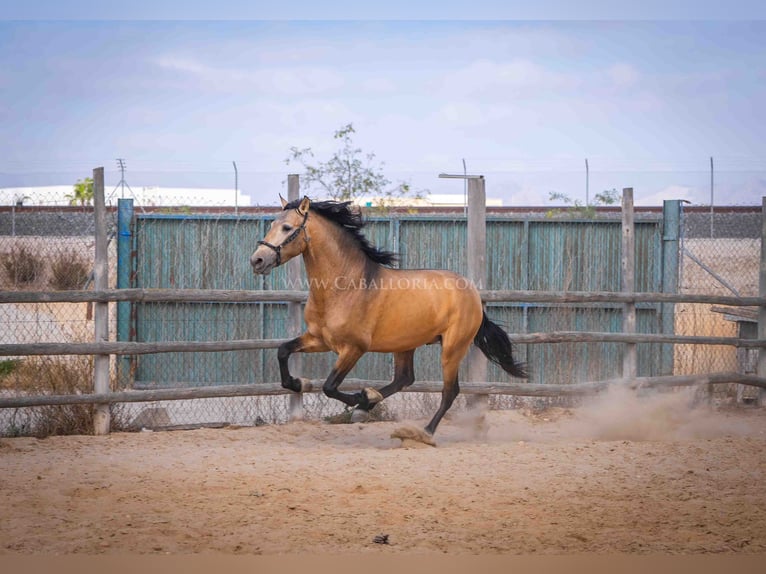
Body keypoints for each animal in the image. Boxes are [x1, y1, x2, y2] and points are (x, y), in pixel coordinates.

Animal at [252, 196, 528, 444]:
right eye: (272, 224)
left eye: (287, 228)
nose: (257, 260)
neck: (344, 286)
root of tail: (472, 292)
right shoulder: (318, 339)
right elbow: (283, 351)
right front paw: (301, 383)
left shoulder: (354, 348)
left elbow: (330, 386)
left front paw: (361, 398)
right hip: (405, 344)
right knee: (404, 379)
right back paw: (372, 406)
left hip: (452, 348)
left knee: (450, 391)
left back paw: (422, 432)